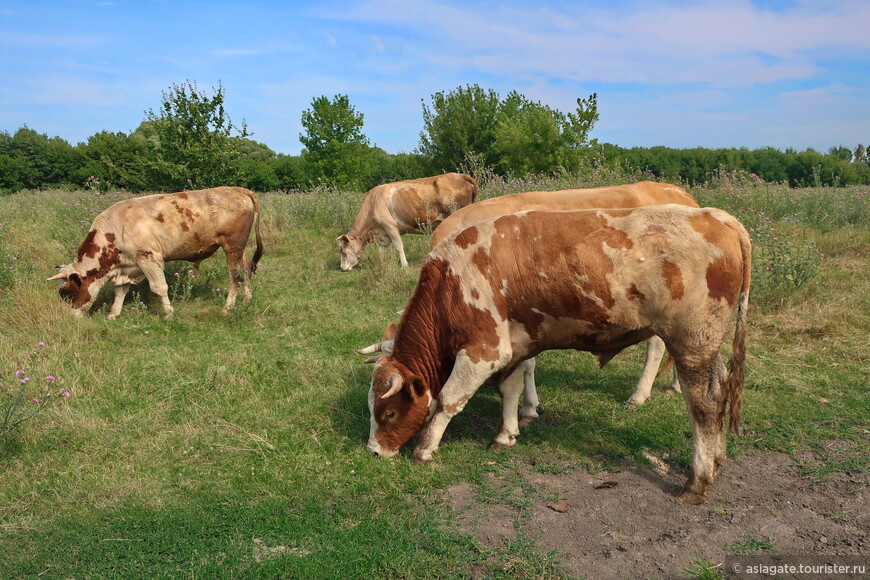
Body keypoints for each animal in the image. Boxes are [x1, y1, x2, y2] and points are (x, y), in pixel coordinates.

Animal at [48, 187, 262, 320]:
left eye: (66, 294)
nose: (68, 319)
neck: (115, 229)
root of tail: (238, 189)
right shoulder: (128, 265)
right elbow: (120, 290)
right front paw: (113, 314)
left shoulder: (149, 258)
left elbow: (159, 287)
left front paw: (168, 313)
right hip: (241, 248)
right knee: (246, 271)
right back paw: (247, 299)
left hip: (232, 247)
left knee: (235, 277)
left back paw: (228, 308)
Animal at [338, 172, 476, 272]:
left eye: (341, 250)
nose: (342, 267)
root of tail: (460, 175)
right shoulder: (384, 233)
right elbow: (381, 249)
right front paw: (381, 262)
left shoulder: (390, 225)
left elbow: (399, 246)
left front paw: (404, 265)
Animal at [366, 204, 748, 502]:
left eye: (388, 413)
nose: (373, 451)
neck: (451, 281)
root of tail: (719, 216)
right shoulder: (514, 347)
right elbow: (511, 390)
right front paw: (506, 434)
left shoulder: (484, 350)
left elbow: (448, 400)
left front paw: (425, 449)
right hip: (706, 346)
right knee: (719, 392)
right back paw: (717, 460)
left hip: (691, 343)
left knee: (704, 407)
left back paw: (697, 481)